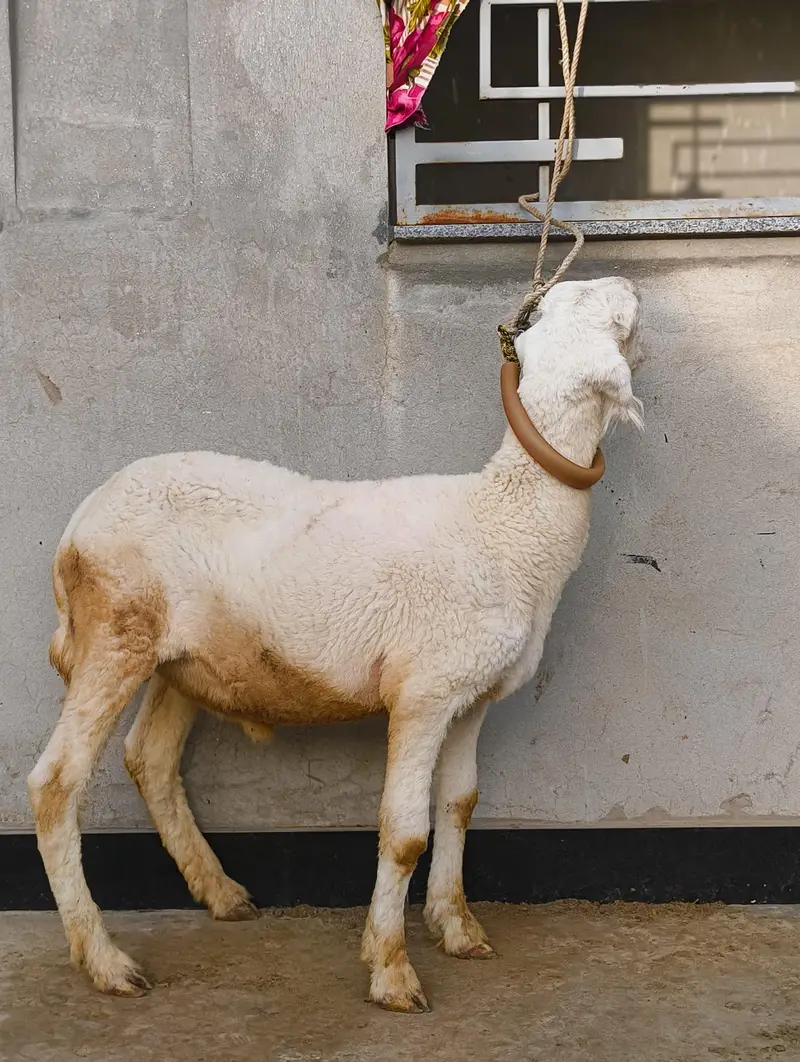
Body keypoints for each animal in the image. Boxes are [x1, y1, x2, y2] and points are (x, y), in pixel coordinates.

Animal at [28, 276, 644, 1013]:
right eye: (594, 308)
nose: (629, 284)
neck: (502, 523)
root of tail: (76, 527)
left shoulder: (471, 695)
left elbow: (458, 805)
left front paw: (457, 928)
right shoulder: (423, 692)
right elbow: (405, 833)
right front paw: (391, 969)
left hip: (183, 659)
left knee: (148, 757)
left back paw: (222, 894)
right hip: (115, 631)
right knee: (55, 784)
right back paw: (105, 960)